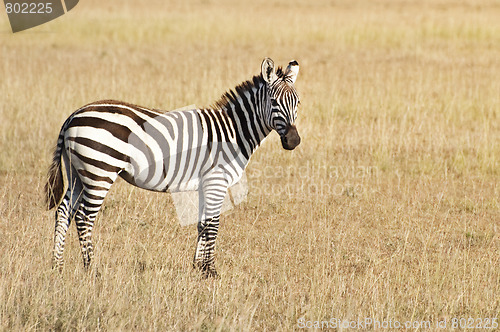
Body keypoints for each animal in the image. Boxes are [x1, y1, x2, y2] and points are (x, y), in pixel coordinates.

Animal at [46, 57, 300, 278]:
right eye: (274, 102)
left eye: (297, 103)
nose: (293, 141)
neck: (233, 131)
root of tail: (73, 116)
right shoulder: (216, 181)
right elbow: (213, 224)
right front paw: (211, 271)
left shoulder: (205, 184)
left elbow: (202, 223)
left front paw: (199, 267)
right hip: (100, 172)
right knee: (84, 217)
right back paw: (92, 269)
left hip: (78, 173)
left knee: (64, 211)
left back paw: (57, 267)